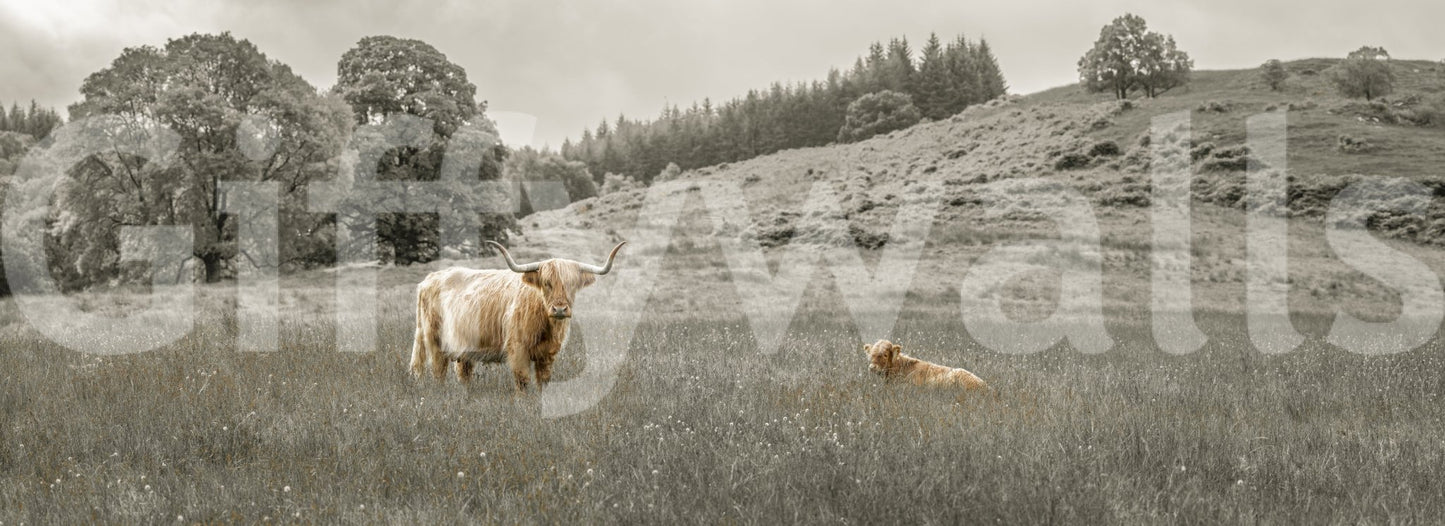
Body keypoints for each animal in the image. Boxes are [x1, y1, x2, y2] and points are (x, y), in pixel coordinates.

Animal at [410, 240, 626, 392]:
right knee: (438, 370)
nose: (559, 309)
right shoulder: (517, 349)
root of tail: (429, 279)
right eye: (546, 283)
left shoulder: (547, 354)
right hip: (434, 339)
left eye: (571, 284)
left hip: (464, 346)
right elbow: (522, 380)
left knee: (463, 371)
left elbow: (543, 380)